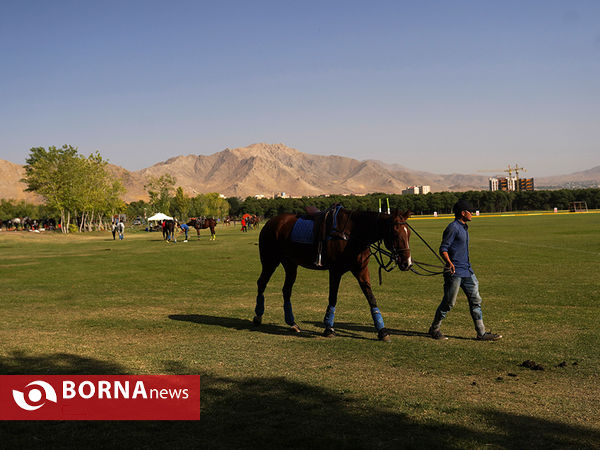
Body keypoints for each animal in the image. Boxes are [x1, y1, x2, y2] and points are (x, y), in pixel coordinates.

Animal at [253, 207, 412, 342]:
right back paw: (258, 316)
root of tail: (270, 222)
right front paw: (329, 328)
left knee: (286, 290)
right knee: (262, 283)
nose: (407, 263)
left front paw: (382, 331)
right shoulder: (335, 271)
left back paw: (292, 323)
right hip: (270, 261)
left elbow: (371, 298)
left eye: (408, 234)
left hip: (290, 264)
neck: (353, 235)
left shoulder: (361, 270)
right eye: (395, 233)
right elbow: (333, 297)